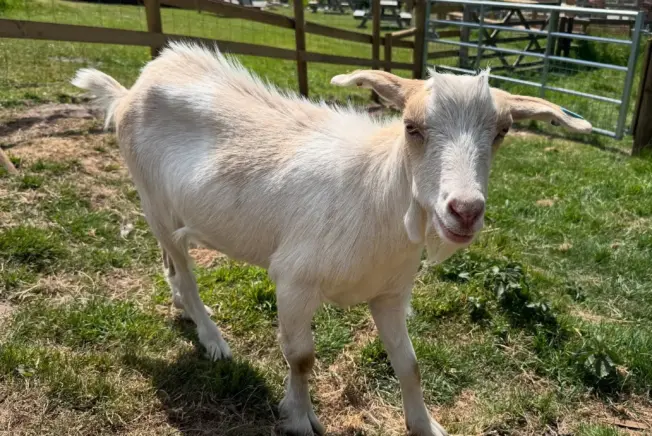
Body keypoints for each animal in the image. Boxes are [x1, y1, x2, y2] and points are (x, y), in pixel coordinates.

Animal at [72, 42, 591, 436]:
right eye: (411, 127)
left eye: (502, 131)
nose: (464, 210)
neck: (376, 194)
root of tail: (134, 86)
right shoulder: (294, 280)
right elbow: (301, 357)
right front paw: (300, 418)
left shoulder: (390, 293)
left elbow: (410, 364)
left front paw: (426, 425)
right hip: (152, 200)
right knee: (184, 270)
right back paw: (212, 337)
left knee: (171, 263)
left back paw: (183, 310)